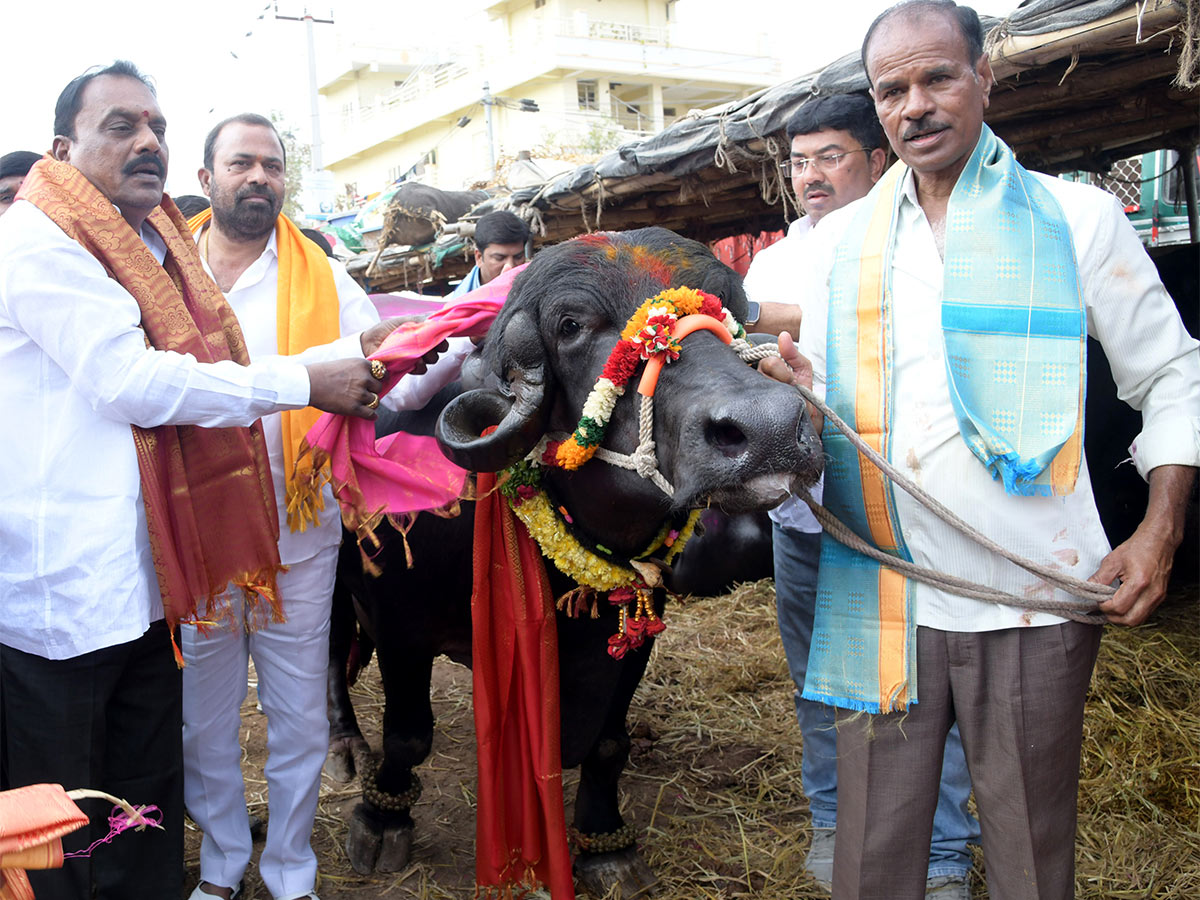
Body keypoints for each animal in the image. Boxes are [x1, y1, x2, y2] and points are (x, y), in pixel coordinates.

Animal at [324, 229, 820, 897]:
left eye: (732, 309)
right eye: (571, 326)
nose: (768, 427)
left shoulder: (634, 627)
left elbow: (609, 743)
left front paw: (606, 843)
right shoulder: (400, 621)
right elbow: (407, 735)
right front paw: (382, 819)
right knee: (329, 652)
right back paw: (344, 746)